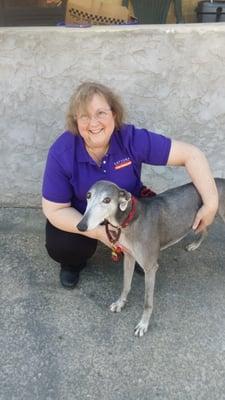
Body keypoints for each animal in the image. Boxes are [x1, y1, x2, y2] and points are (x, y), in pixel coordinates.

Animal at [76, 179, 225, 338]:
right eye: (88, 195)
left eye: (107, 200)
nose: (81, 226)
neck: (131, 219)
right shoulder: (129, 257)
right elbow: (126, 285)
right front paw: (120, 303)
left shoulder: (150, 268)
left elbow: (147, 302)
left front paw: (143, 324)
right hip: (204, 218)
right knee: (206, 228)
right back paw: (195, 245)